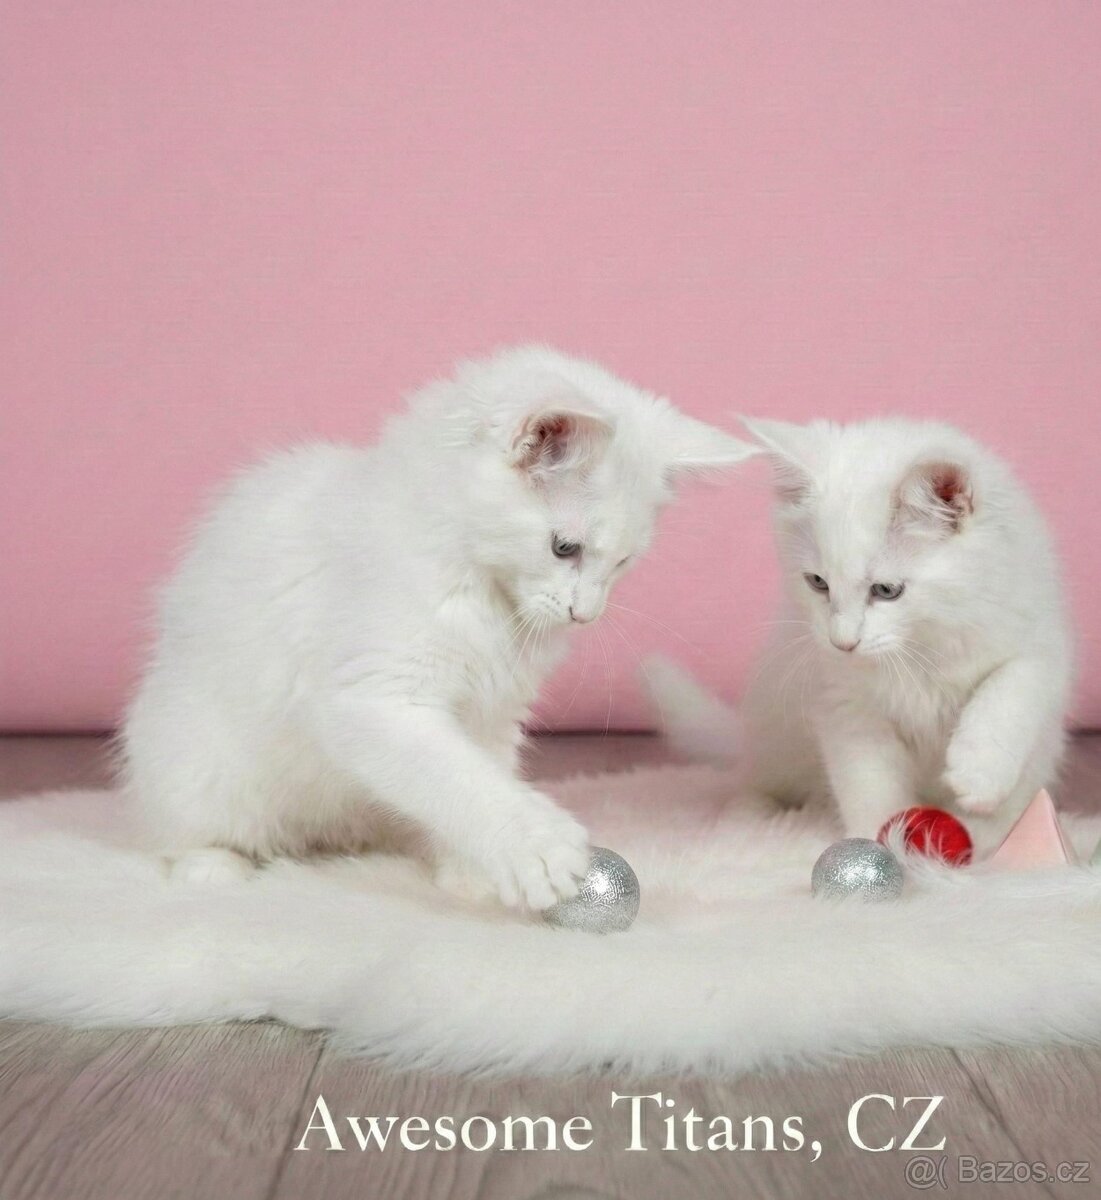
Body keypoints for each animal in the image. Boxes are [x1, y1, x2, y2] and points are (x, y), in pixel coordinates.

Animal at [121, 345, 757, 907]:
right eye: (564, 547)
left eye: (623, 563)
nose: (587, 613)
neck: (487, 597)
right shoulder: (372, 698)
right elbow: (456, 777)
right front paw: (536, 847)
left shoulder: (494, 715)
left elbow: (483, 772)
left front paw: (474, 873)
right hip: (200, 763)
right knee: (189, 827)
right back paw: (213, 865)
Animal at [647, 416, 1073, 837]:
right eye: (818, 583)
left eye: (886, 590)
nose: (843, 642)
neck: (922, 642)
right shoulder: (844, 703)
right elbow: (869, 785)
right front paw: (884, 848)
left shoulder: (1042, 638)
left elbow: (1010, 688)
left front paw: (978, 777)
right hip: (774, 735)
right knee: (758, 781)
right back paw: (750, 818)